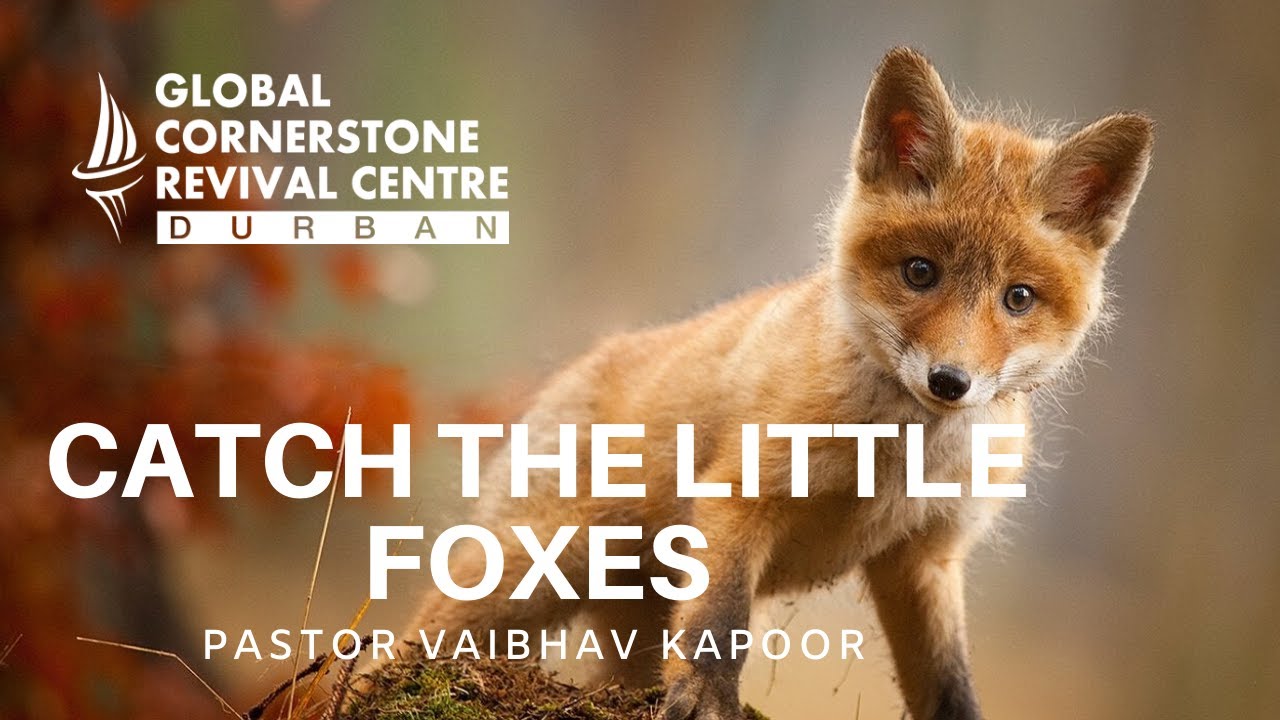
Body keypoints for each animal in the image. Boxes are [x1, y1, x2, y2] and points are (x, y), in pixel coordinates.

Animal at [406, 47, 1153, 720]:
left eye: (1018, 298)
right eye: (920, 272)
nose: (950, 381)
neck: (895, 458)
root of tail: (578, 366)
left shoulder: (925, 558)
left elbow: (949, 683)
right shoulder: (742, 493)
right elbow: (720, 622)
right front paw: (709, 703)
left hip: (627, 620)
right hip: (533, 567)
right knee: (408, 643)